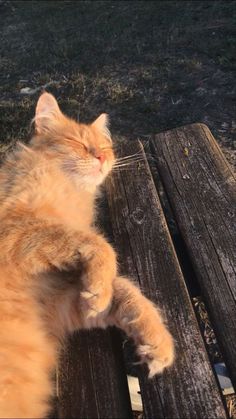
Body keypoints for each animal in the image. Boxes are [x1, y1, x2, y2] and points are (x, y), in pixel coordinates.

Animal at [0, 93, 173, 418]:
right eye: (79, 143)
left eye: (104, 148)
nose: (101, 158)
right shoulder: (15, 230)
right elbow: (100, 246)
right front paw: (99, 288)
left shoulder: (60, 302)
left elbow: (125, 293)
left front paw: (158, 343)